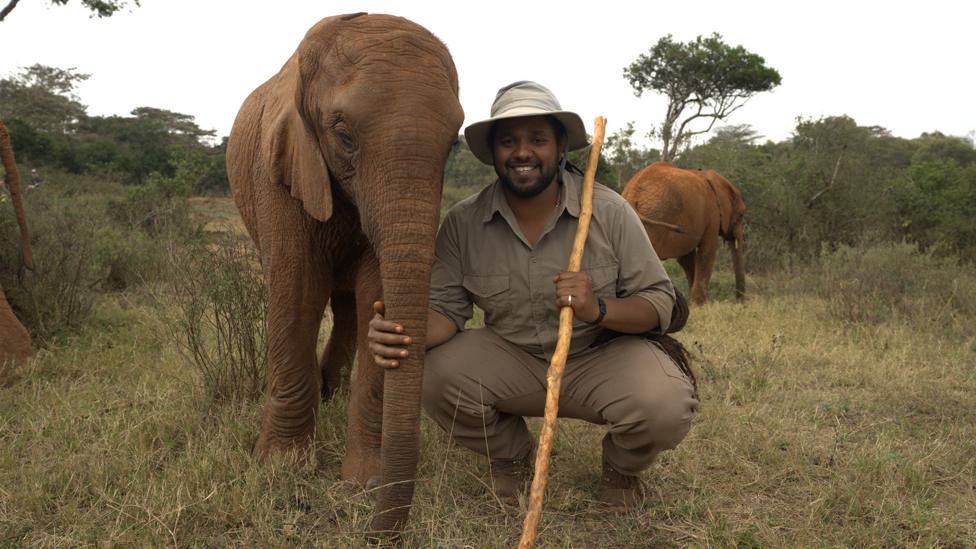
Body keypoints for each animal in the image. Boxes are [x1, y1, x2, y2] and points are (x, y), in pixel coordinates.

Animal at [225, 13, 463, 535]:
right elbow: (297, 294)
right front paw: (281, 469)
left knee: (349, 306)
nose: (373, 532)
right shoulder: (279, 169)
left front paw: (364, 480)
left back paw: (331, 393)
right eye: (344, 136)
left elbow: (373, 286)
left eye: (453, 145)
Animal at [621, 161, 745, 305]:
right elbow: (706, 254)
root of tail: (632, 194)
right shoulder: (712, 215)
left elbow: (686, 260)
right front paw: (700, 305)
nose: (740, 303)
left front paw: (692, 304)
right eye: (741, 215)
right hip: (655, 214)